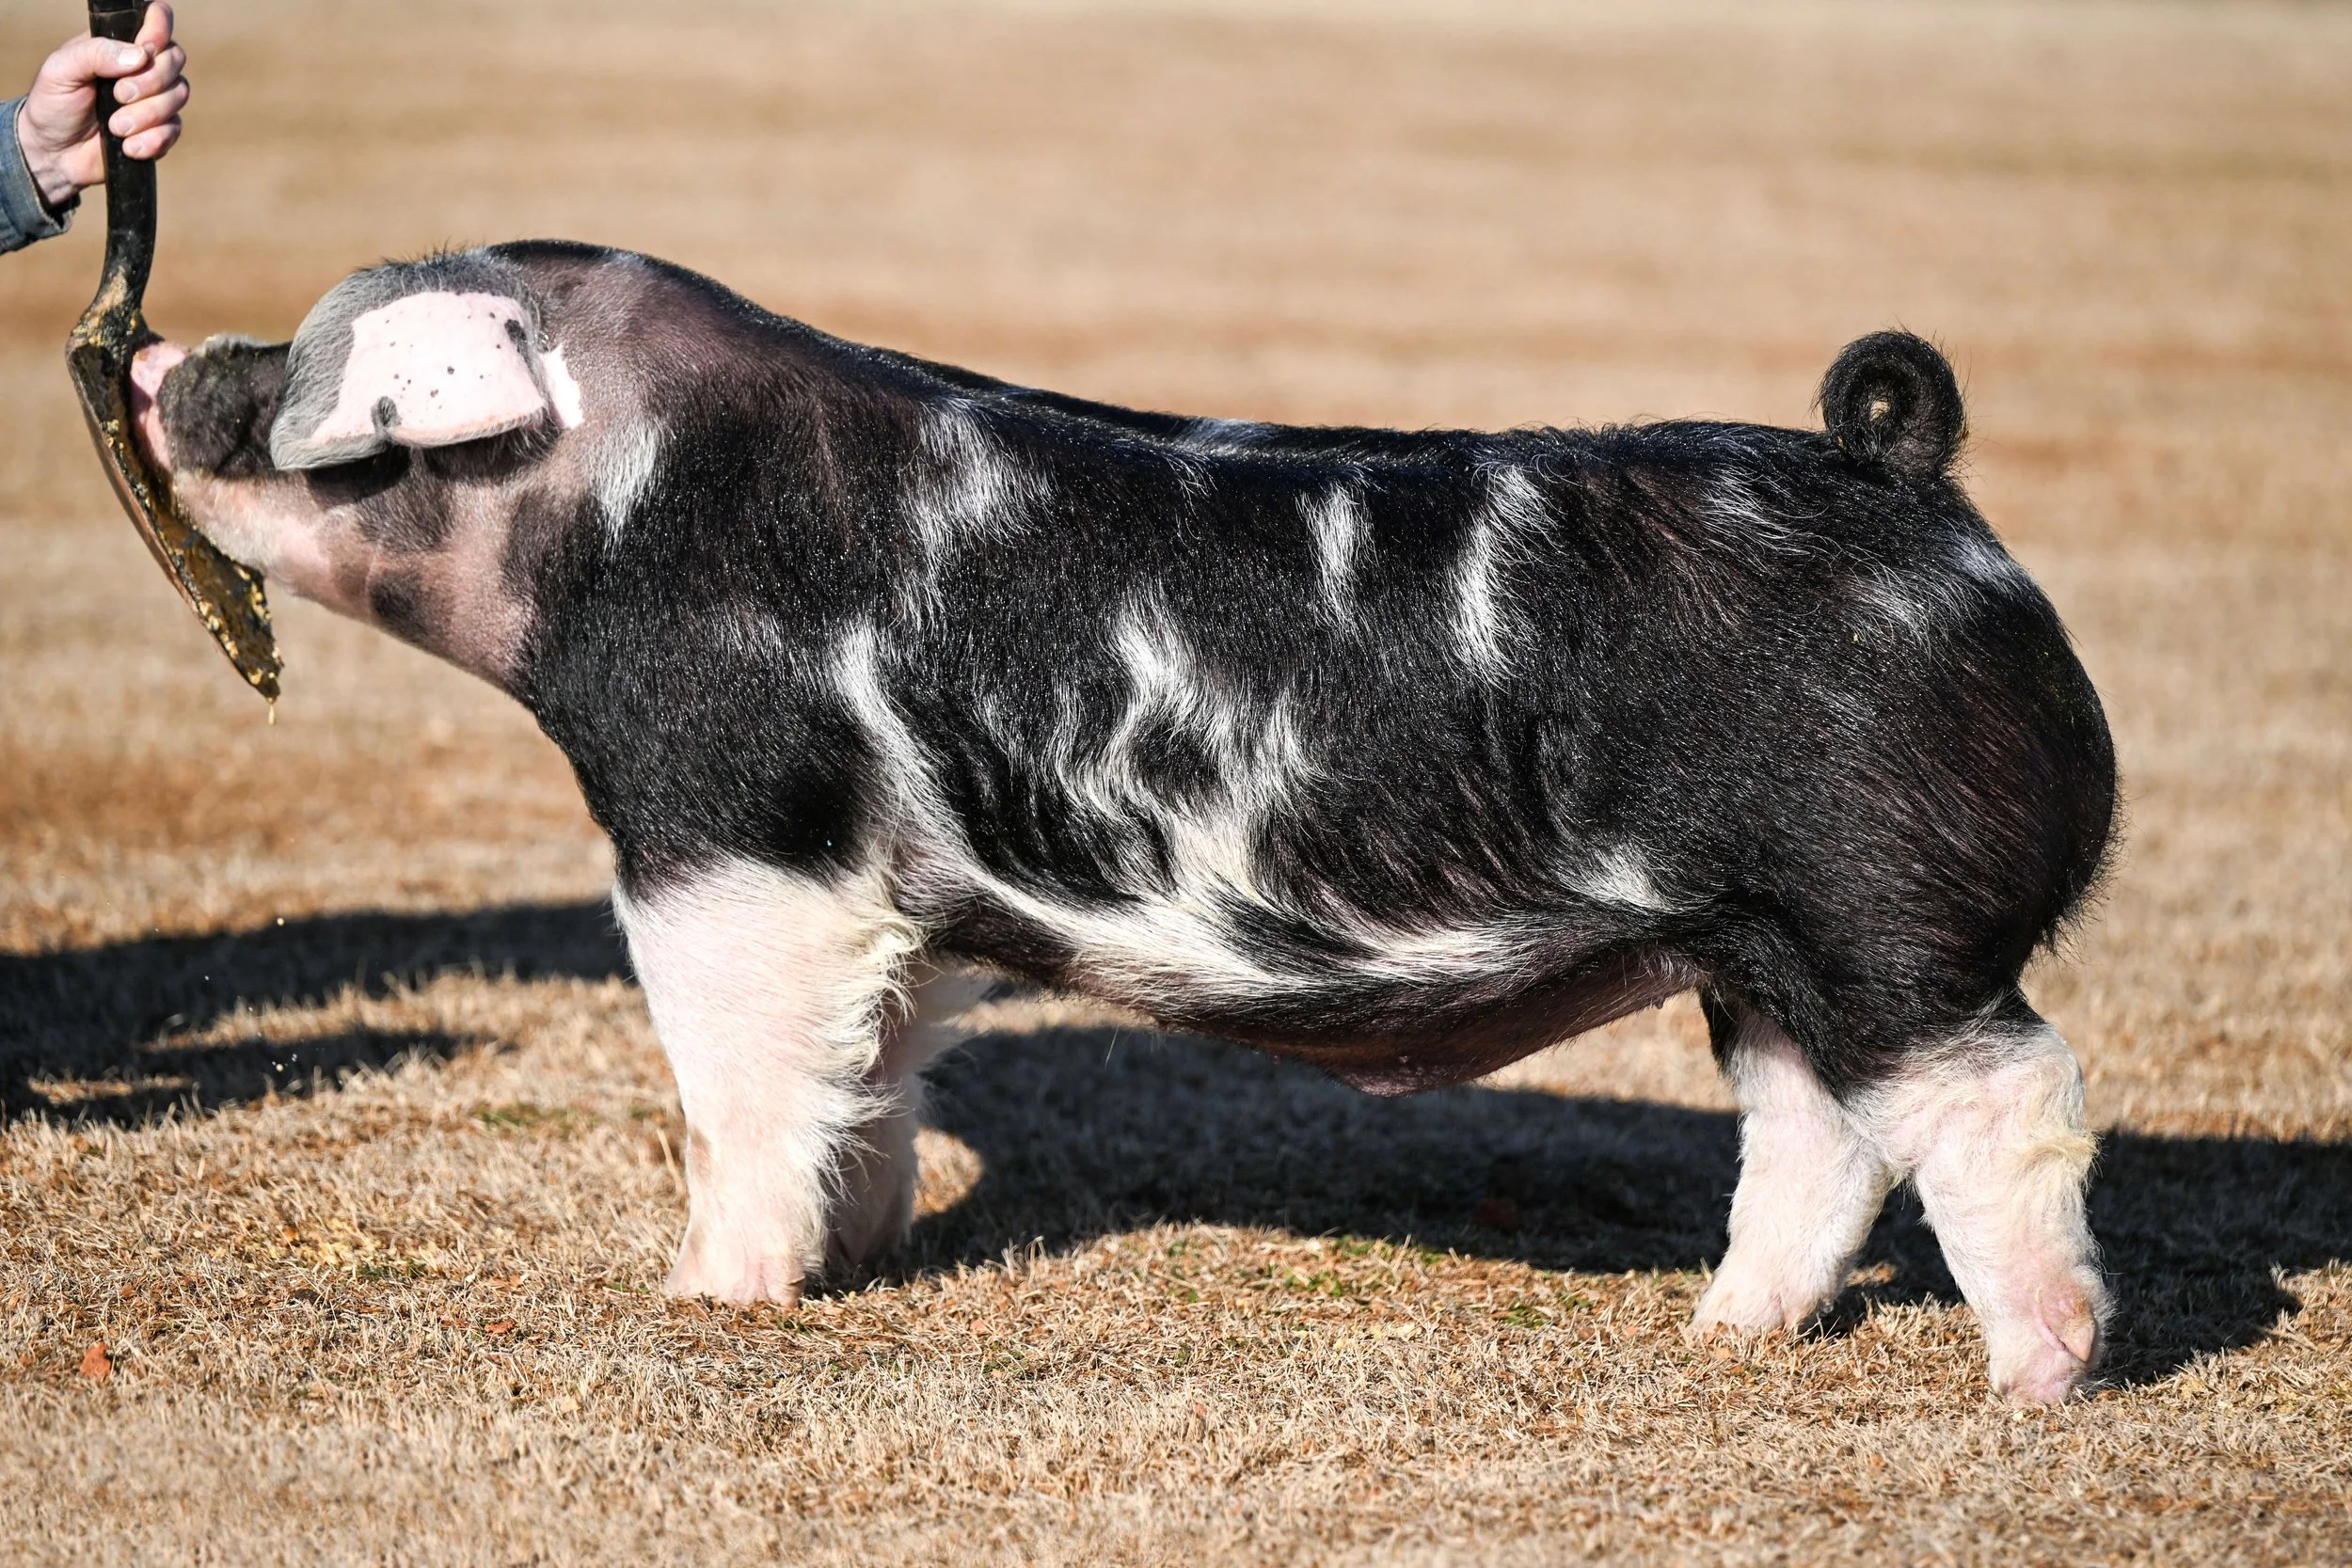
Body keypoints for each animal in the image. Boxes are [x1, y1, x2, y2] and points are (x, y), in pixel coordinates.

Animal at [130, 241, 2119, 1403]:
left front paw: (711, 1297)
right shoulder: (890, 899)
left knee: (2004, 1096)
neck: (632, 497)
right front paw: (863, 1253)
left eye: (301, 375)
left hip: (1879, 913)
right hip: (1758, 947)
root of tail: (1904, 480)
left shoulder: (729, 832)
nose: (156, 365)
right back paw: (1723, 1335)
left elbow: (735, 1087)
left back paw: (2041, 1374)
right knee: (1817, 1138)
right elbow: (871, 1073)